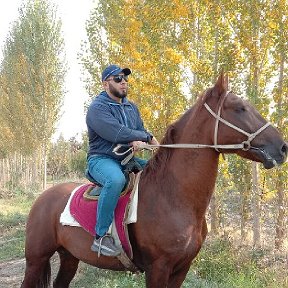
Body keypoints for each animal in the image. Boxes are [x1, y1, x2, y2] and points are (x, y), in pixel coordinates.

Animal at [21, 73, 286, 286]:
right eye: (240, 108)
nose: (282, 147)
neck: (173, 197)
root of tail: (42, 197)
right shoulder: (158, 268)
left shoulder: (181, 268)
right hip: (36, 259)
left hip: (69, 257)